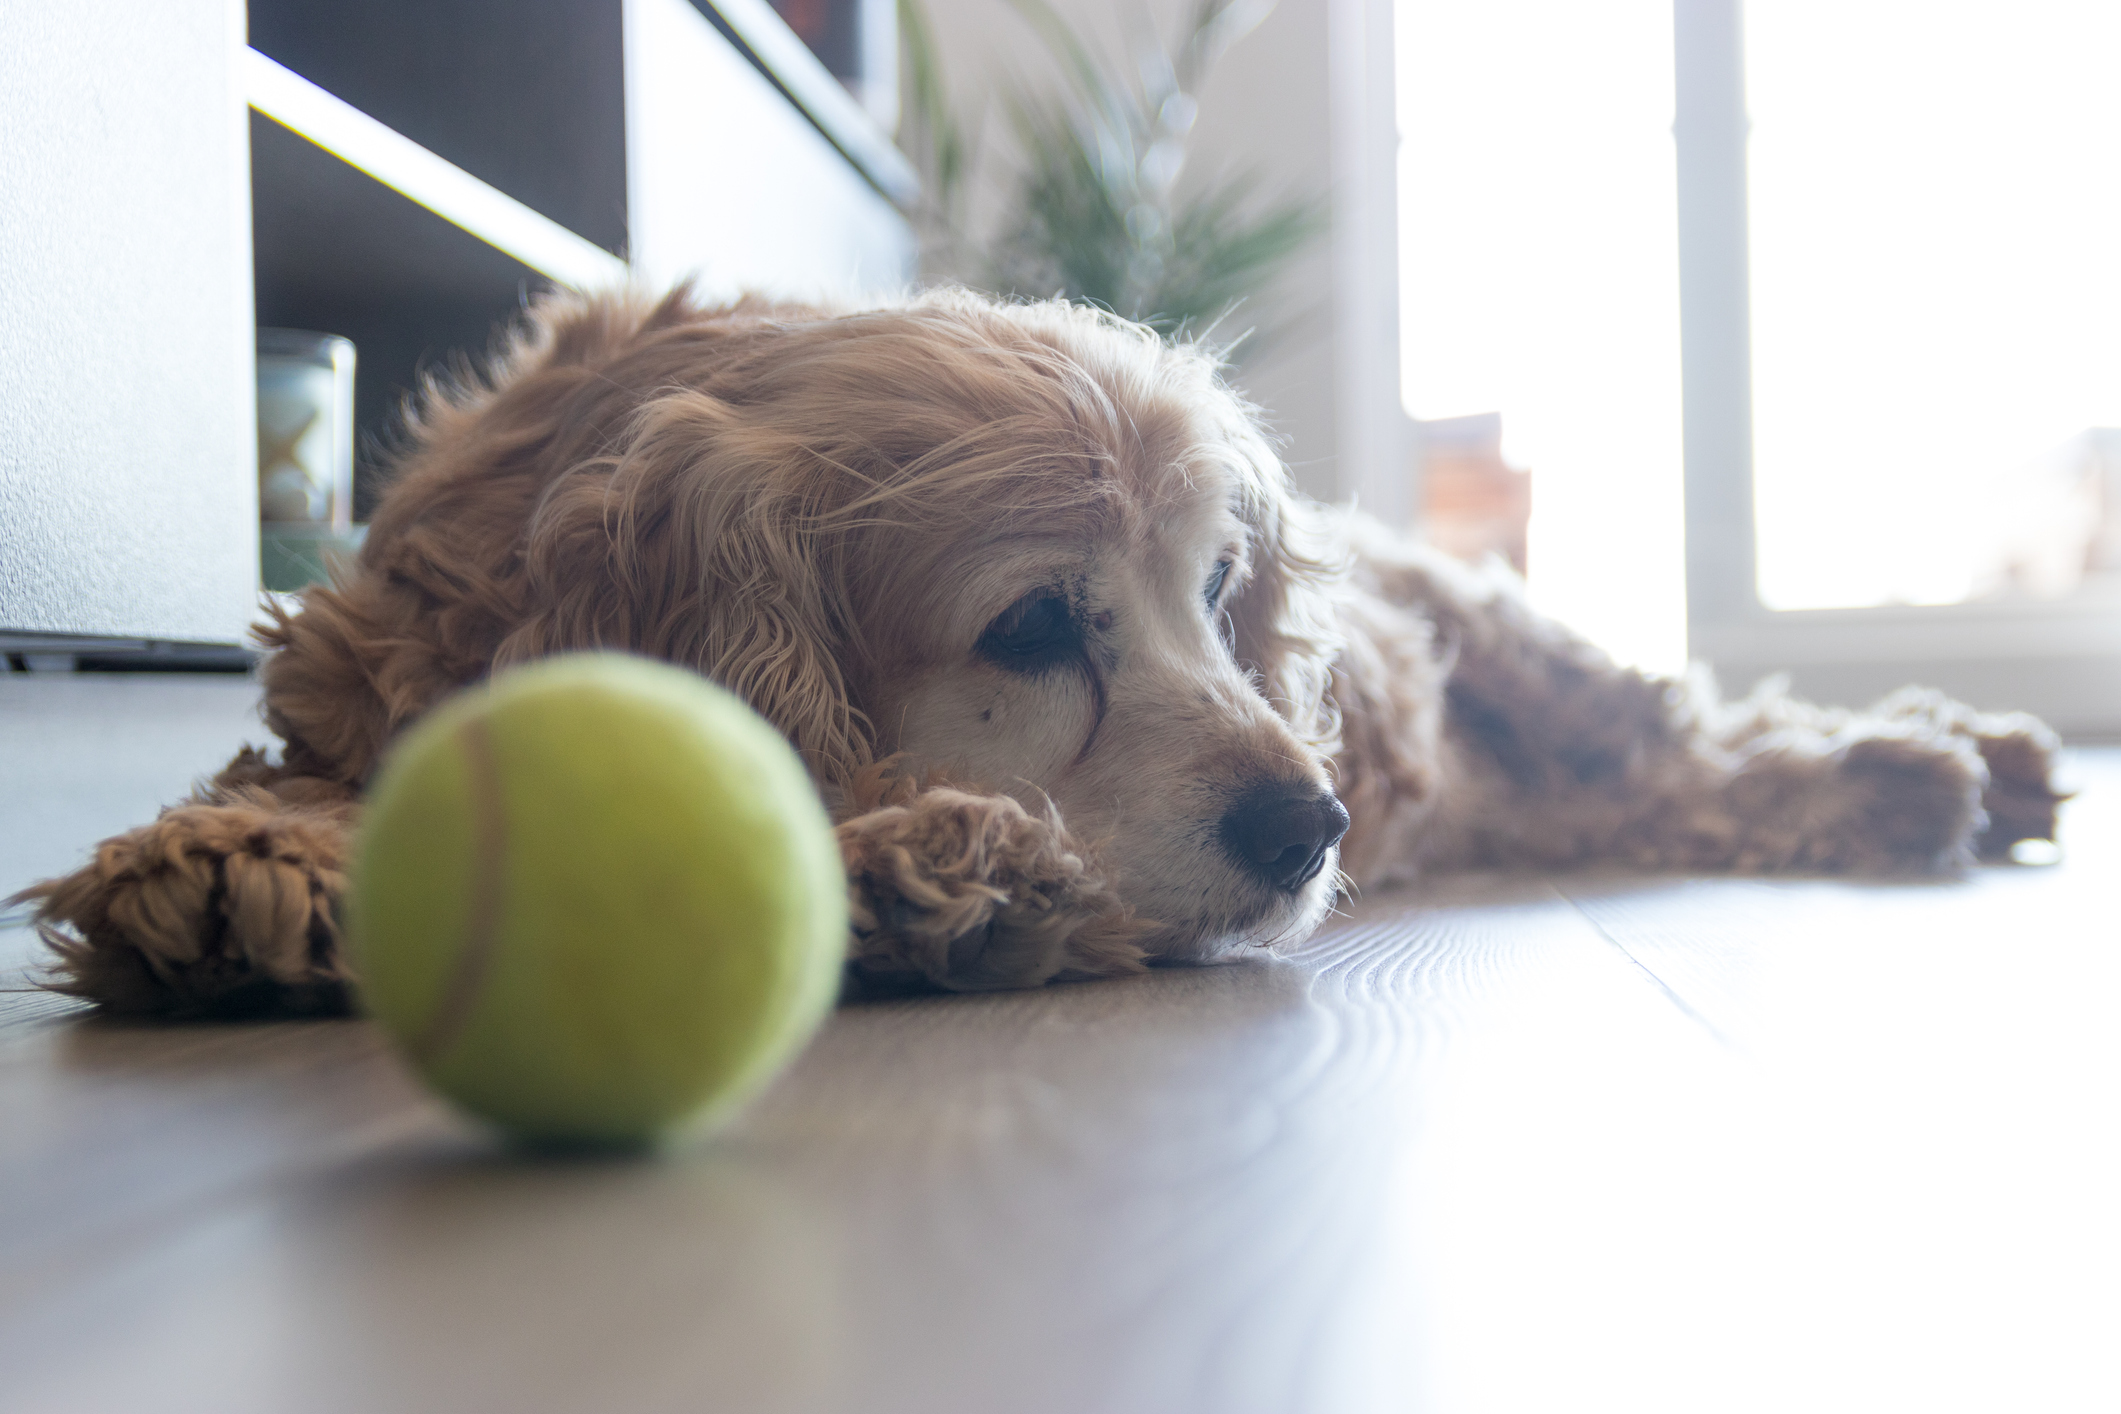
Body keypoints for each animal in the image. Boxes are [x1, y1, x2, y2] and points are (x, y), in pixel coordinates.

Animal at [16, 288, 2061, 1017]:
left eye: (1217, 589)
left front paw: (940, 869)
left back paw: (1934, 761)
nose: (1314, 826)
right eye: (1028, 623)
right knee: (1646, 786)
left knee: (1691, 736)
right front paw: (220, 867)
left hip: (1525, 635)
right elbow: (296, 766)